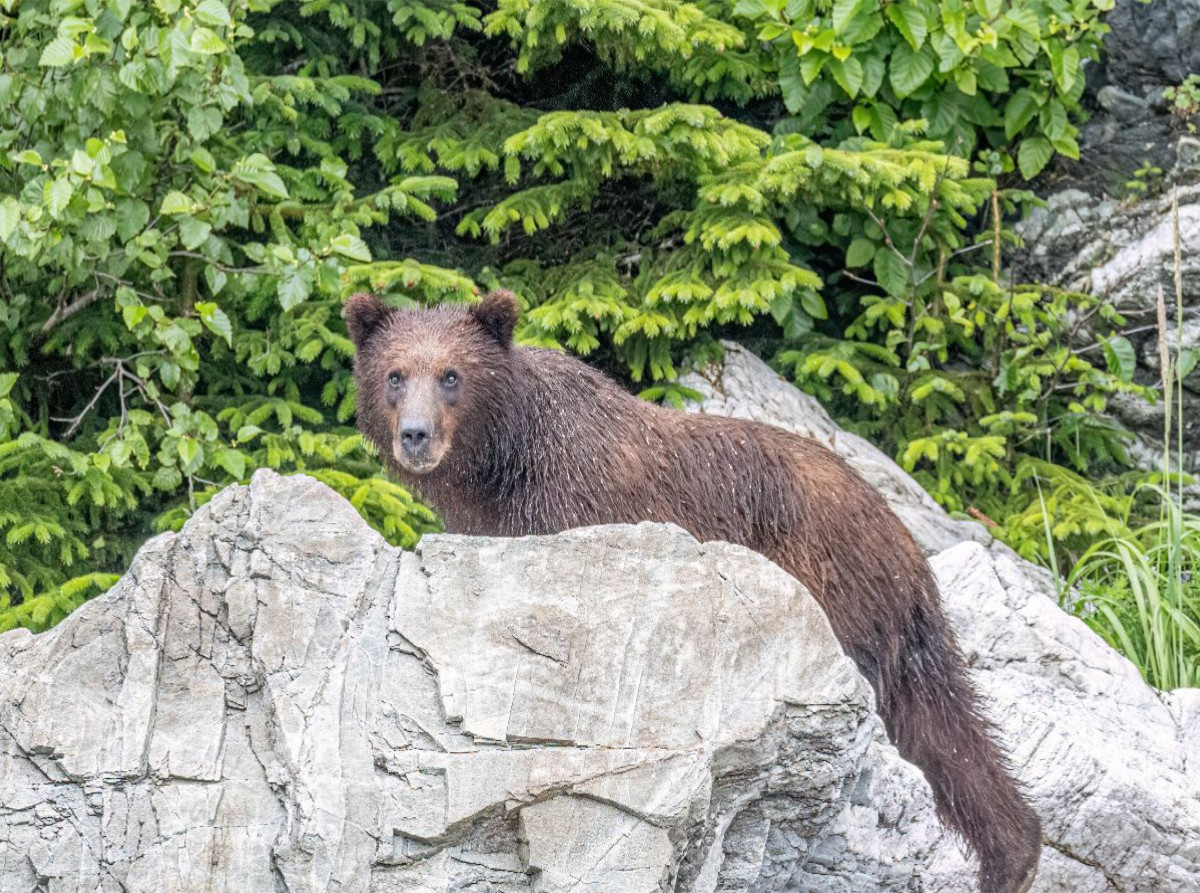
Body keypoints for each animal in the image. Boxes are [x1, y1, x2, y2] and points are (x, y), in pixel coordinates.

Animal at [345, 289, 1042, 893]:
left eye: (452, 375)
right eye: (395, 374)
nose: (415, 435)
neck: (501, 462)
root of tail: (906, 544)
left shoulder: (573, 504)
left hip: (830, 589)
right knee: (944, 732)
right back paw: (1014, 853)